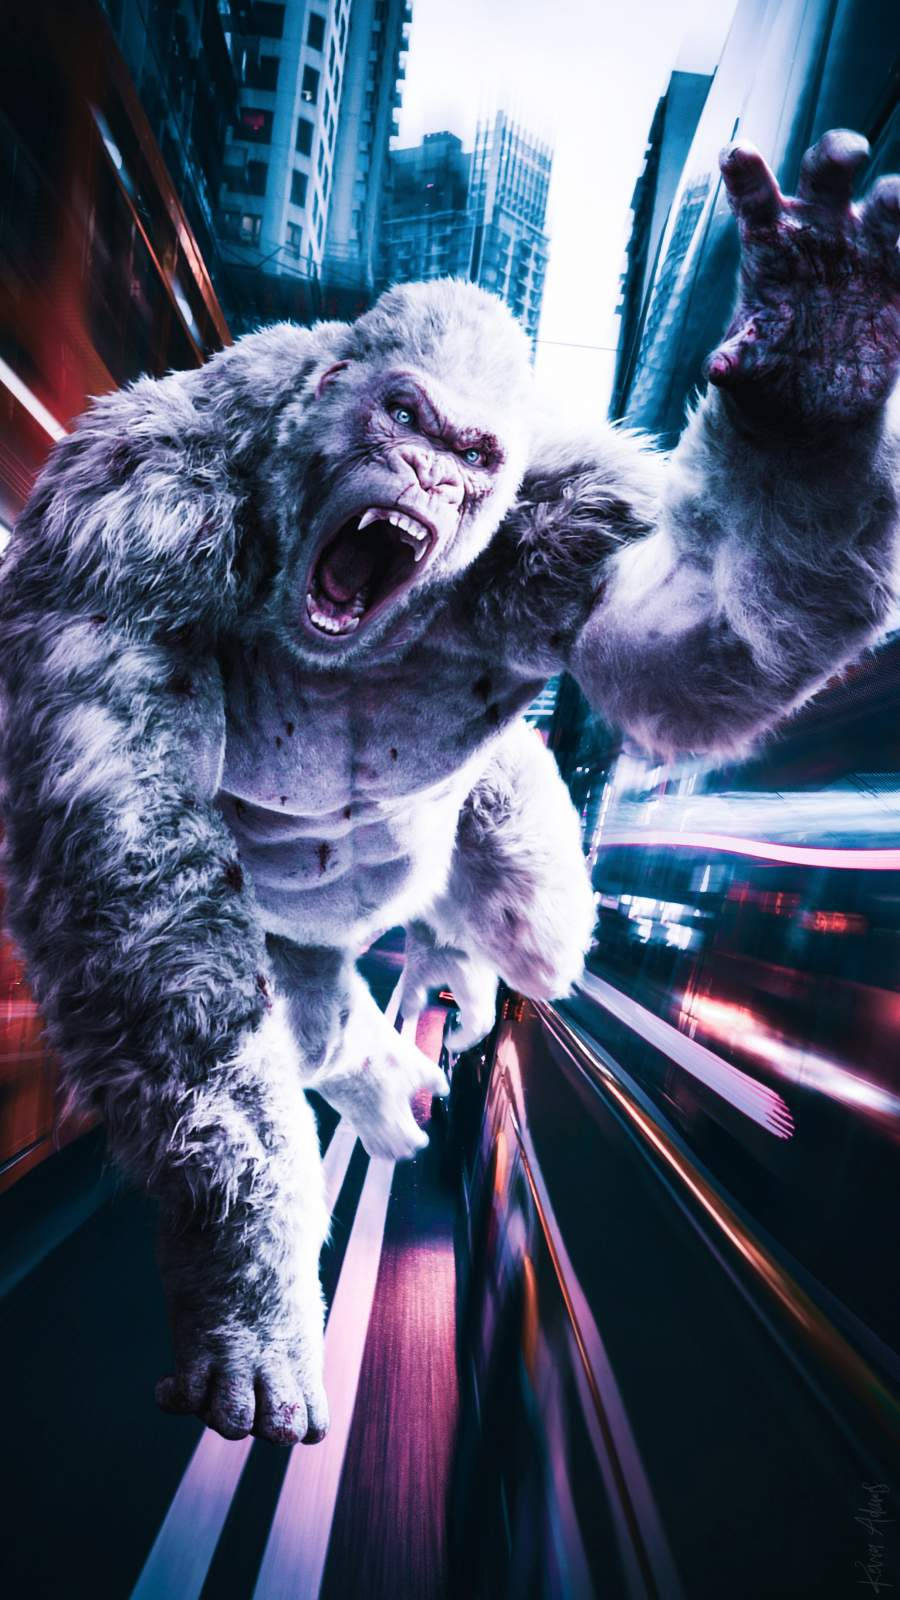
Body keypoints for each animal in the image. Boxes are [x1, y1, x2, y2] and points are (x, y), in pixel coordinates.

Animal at [1, 132, 898, 1447]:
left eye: (475, 457)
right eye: (404, 413)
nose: (427, 471)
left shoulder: (573, 523)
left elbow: (687, 648)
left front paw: (818, 374)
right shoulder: (123, 526)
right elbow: (147, 910)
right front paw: (250, 1298)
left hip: (509, 850)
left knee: (518, 906)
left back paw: (453, 974)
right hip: (292, 938)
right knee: (296, 1010)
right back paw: (384, 1078)